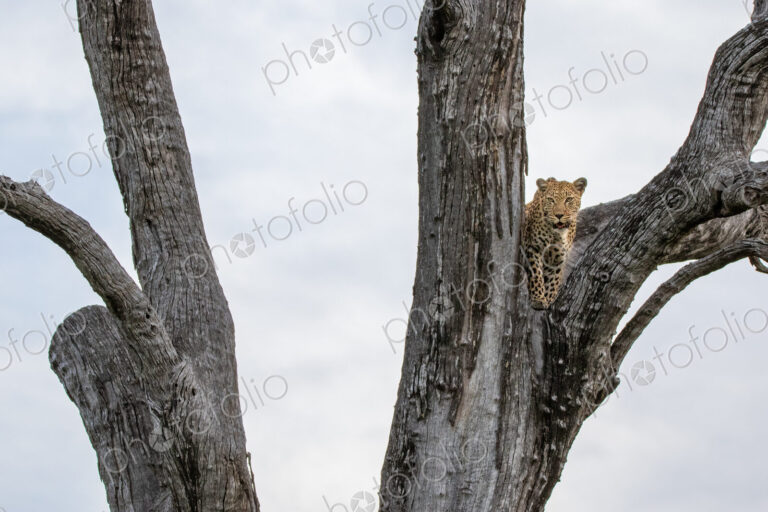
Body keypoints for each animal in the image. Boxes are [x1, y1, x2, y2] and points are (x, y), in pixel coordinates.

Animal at [523, 177, 587, 309]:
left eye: (568, 199)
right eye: (551, 200)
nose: (559, 215)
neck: (557, 234)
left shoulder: (559, 256)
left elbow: (553, 278)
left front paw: (549, 298)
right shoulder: (532, 247)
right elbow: (536, 273)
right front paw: (538, 299)